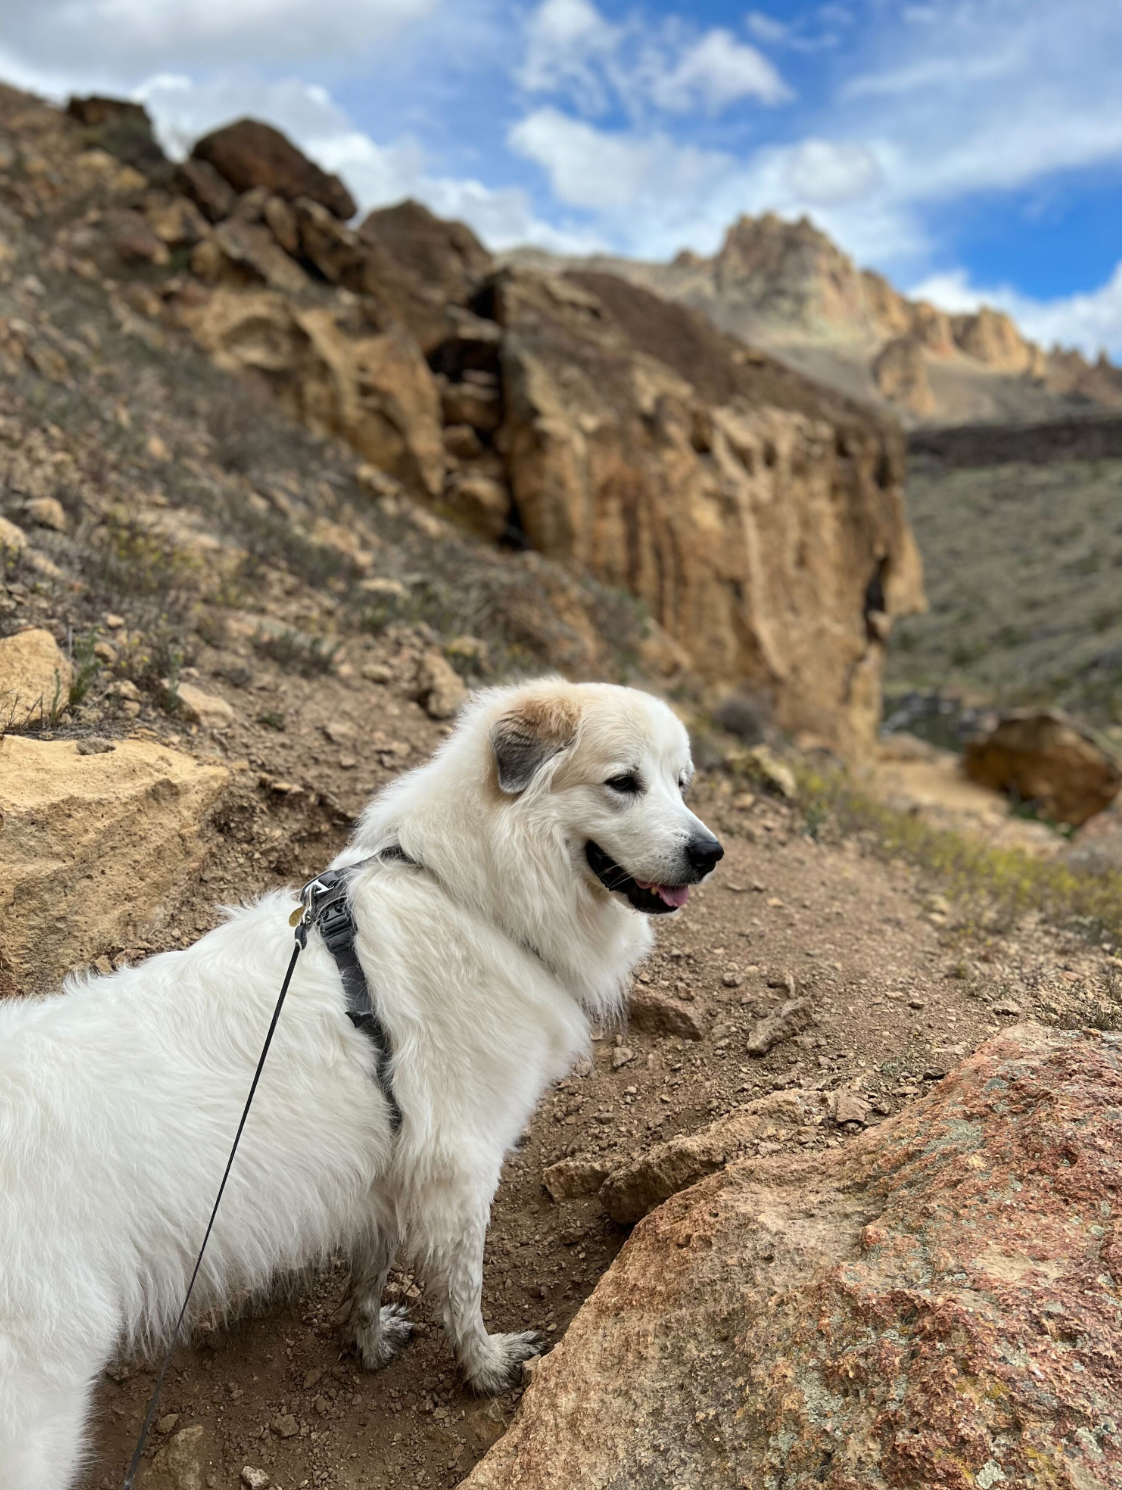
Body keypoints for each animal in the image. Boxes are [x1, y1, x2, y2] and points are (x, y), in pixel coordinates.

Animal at [0, 682, 718, 1484]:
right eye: (623, 783)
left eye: (681, 784)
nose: (709, 853)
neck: (472, 896)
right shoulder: (460, 1165)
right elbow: (463, 1288)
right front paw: (487, 1368)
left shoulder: (386, 1162)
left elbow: (371, 1271)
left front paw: (368, 1345)